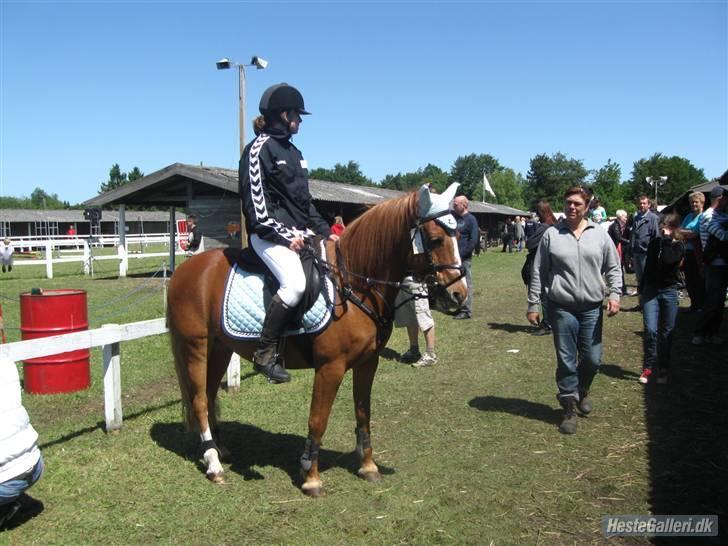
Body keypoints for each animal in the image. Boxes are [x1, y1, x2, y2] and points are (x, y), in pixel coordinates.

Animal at [168, 185, 466, 496]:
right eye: (435, 239)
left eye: (458, 235)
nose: (459, 294)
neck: (353, 284)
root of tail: (184, 271)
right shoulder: (330, 368)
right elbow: (318, 420)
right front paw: (311, 476)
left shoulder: (368, 363)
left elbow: (363, 413)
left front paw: (368, 466)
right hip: (195, 347)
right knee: (200, 400)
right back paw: (214, 465)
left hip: (220, 349)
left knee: (210, 394)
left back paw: (219, 450)